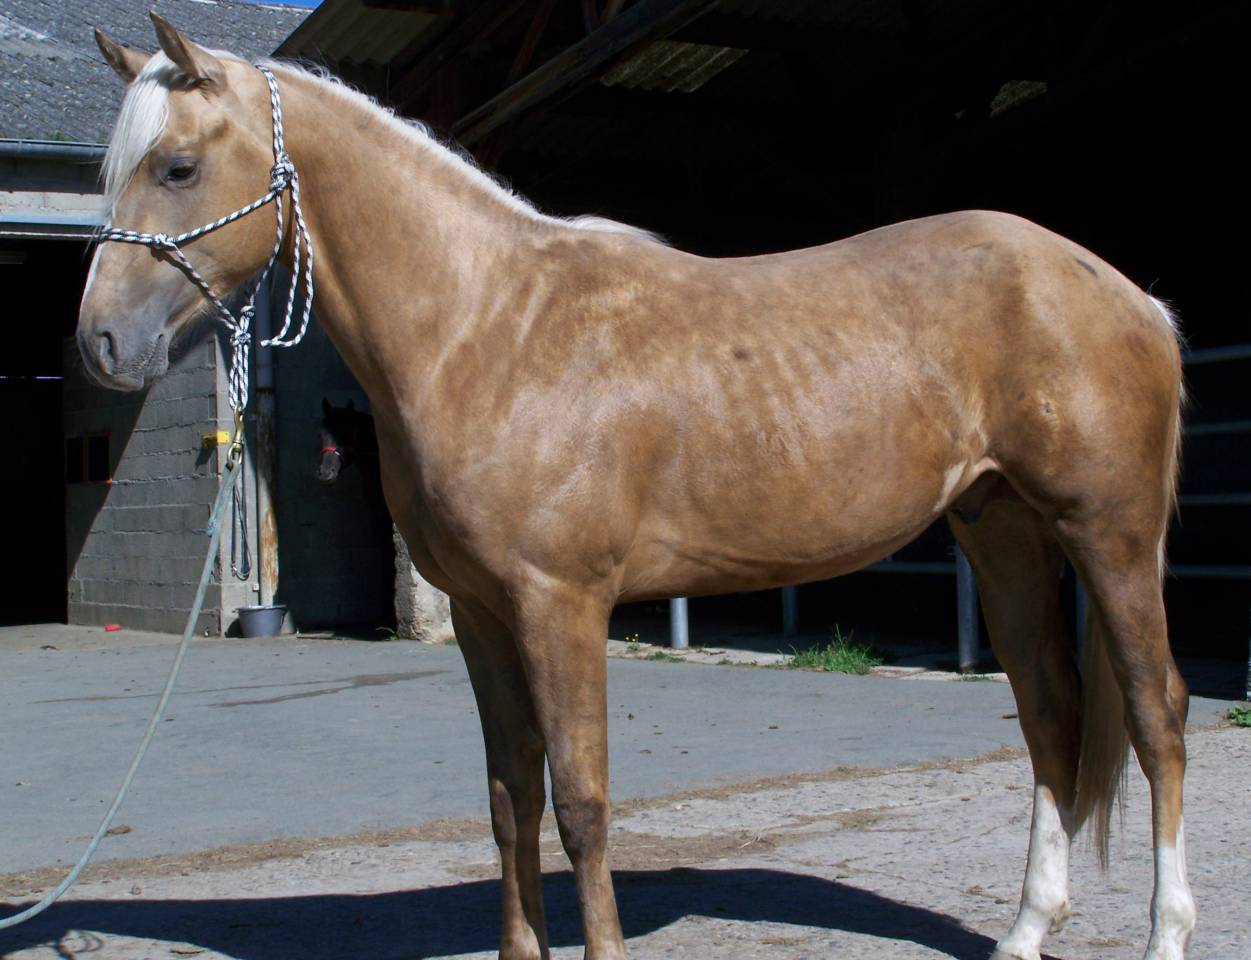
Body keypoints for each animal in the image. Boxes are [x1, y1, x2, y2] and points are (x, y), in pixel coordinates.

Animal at [78, 16, 1192, 960]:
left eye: (178, 168)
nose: (100, 346)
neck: (487, 327)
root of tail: (1128, 294)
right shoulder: (483, 615)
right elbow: (510, 798)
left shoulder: (560, 604)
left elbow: (581, 801)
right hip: (1002, 533)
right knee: (1051, 714)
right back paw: (1024, 931)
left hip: (1111, 537)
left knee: (1156, 715)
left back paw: (1165, 933)